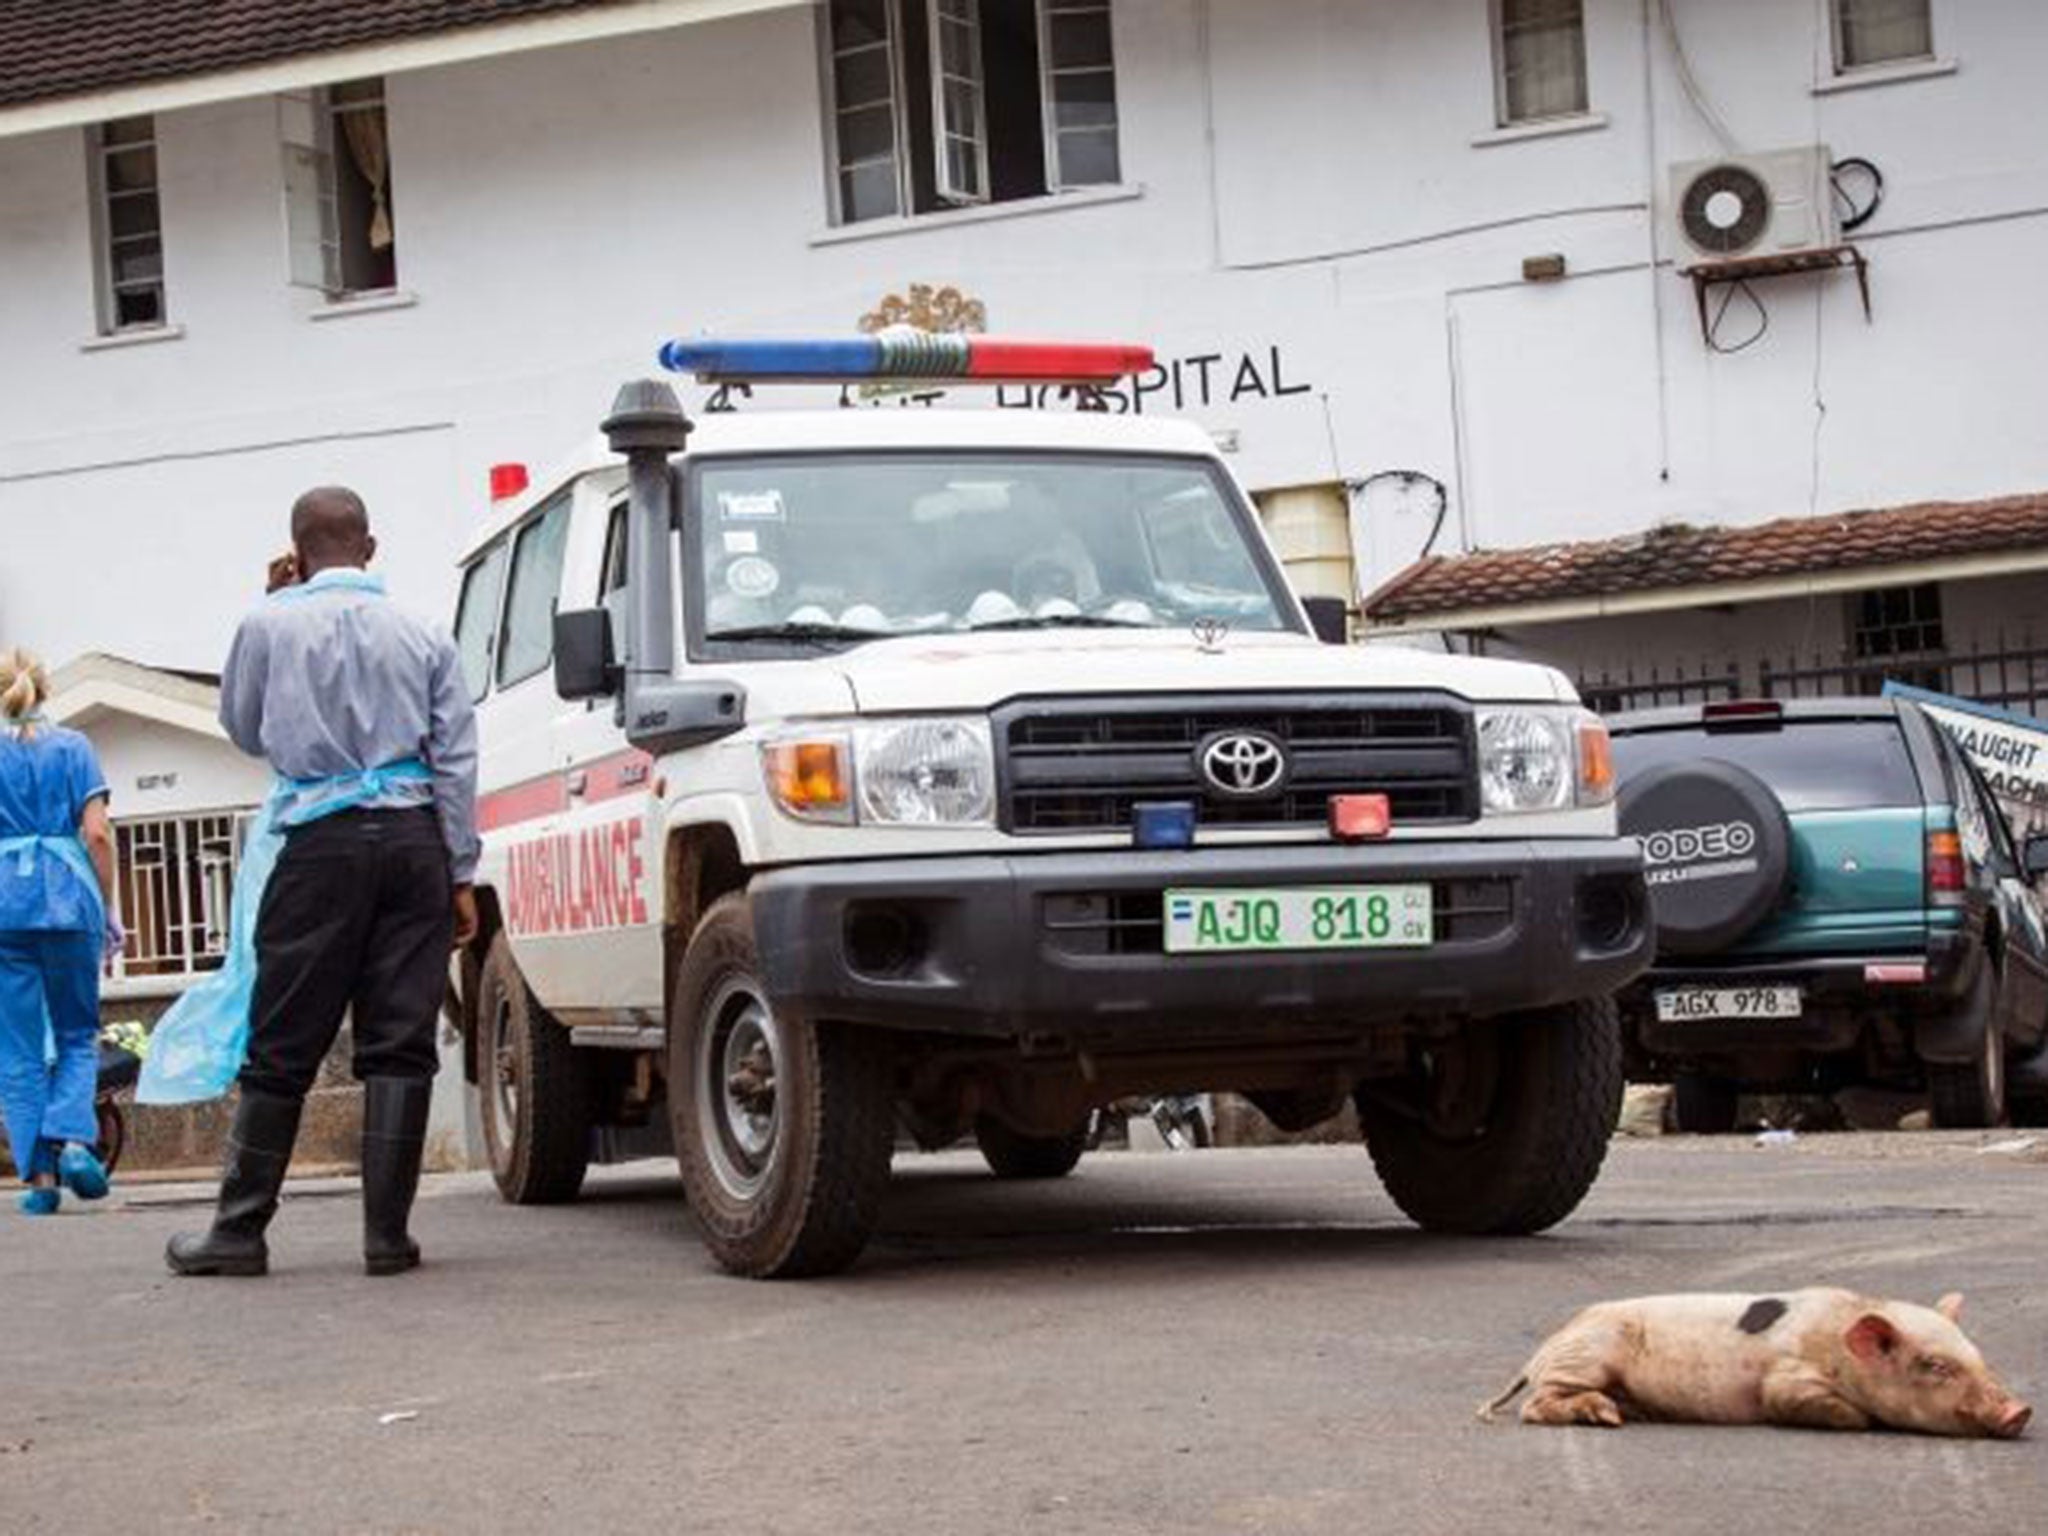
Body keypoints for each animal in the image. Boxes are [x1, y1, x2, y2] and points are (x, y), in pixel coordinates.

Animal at [1490, 1286, 2031, 1441]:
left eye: (1979, 1357)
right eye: (1934, 1366)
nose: (2021, 1410)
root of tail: (1541, 1351)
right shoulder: (1784, 1379)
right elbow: (1789, 1399)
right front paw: (1860, 1419)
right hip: (1587, 1355)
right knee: (1536, 1405)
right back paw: (1604, 1416)